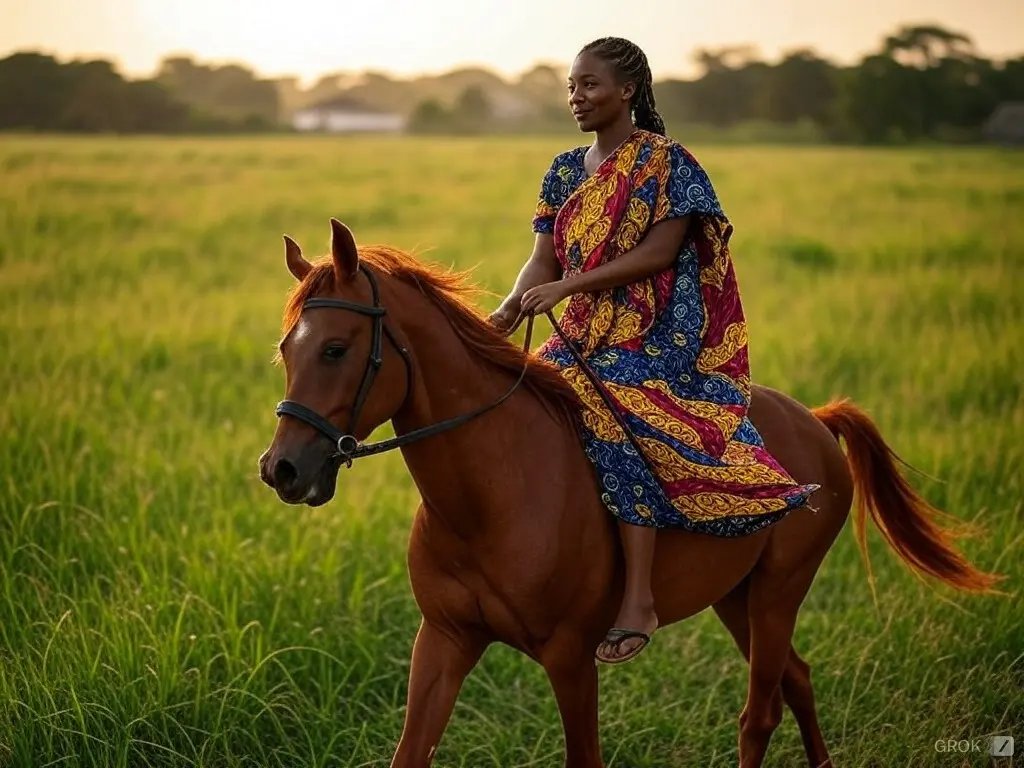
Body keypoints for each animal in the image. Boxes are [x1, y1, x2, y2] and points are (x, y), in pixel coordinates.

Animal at [256, 219, 999, 768]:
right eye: (287, 349)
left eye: (336, 349)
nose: (281, 470)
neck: (489, 499)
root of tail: (816, 420)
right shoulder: (443, 641)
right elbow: (410, 753)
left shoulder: (570, 657)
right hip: (737, 597)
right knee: (798, 679)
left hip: (781, 591)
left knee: (759, 713)